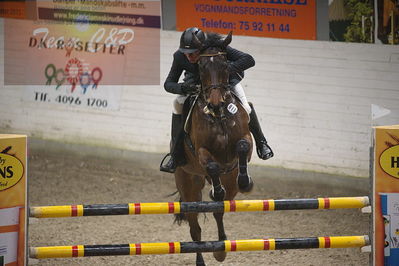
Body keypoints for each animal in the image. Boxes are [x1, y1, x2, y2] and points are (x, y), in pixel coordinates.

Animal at [174, 31, 255, 266]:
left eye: (225, 64)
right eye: (201, 67)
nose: (216, 103)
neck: (219, 116)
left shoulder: (246, 139)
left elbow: (242, 146)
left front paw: (246, 181)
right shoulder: (201, 151)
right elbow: (211, 165)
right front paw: (215, 189)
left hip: (230, 184)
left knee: (219, 210)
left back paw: (221, 250)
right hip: (188, 186)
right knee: (195, 229)